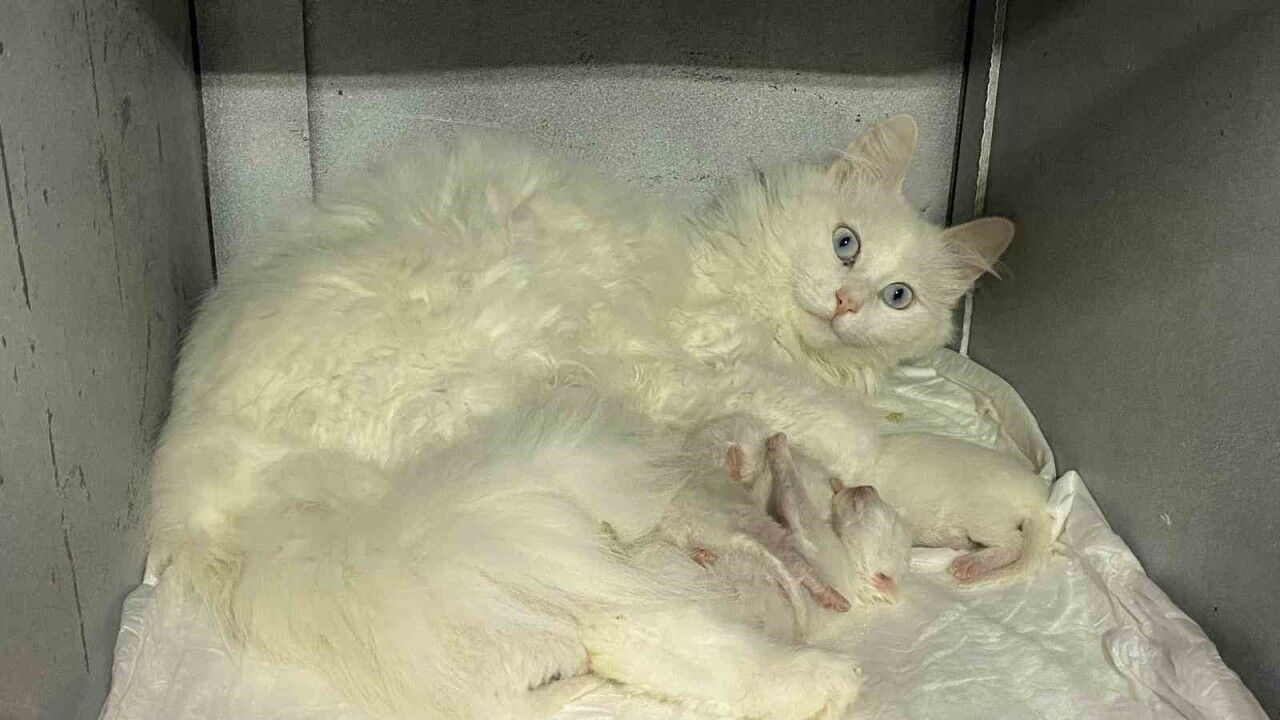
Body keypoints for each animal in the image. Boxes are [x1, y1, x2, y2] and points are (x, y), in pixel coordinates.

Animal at [148, 116, 1013, 719]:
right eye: (845, 243)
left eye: (899, 296)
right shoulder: (700, 367)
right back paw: (816, 679)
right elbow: (851, 433)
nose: (844, 303)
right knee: (622, 621)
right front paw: (889, 468)